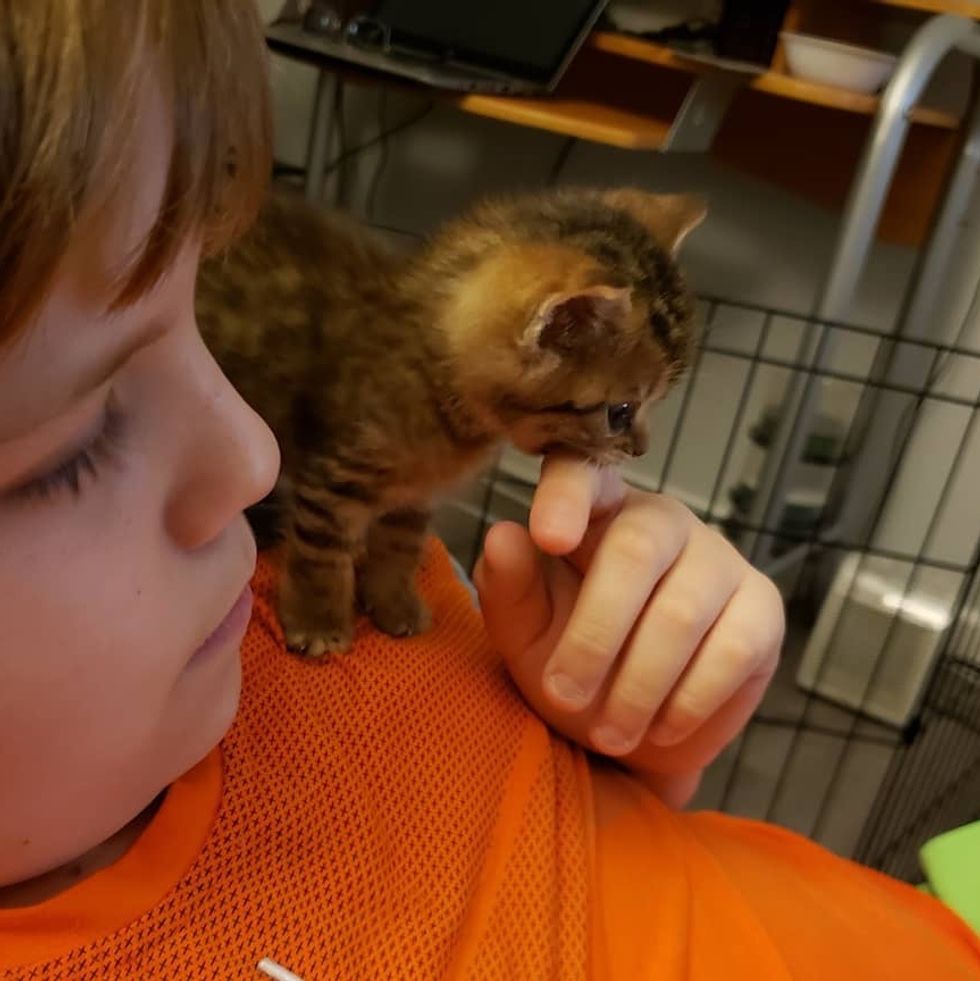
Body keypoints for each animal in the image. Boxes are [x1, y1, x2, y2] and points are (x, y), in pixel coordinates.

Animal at [197, 187, 704, 656]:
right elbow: (321, 554)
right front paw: (319, 621)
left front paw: (393, 603)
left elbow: (400, 545)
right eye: (621, 413)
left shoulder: (414, 496)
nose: (640, 450)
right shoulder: (335, 476)